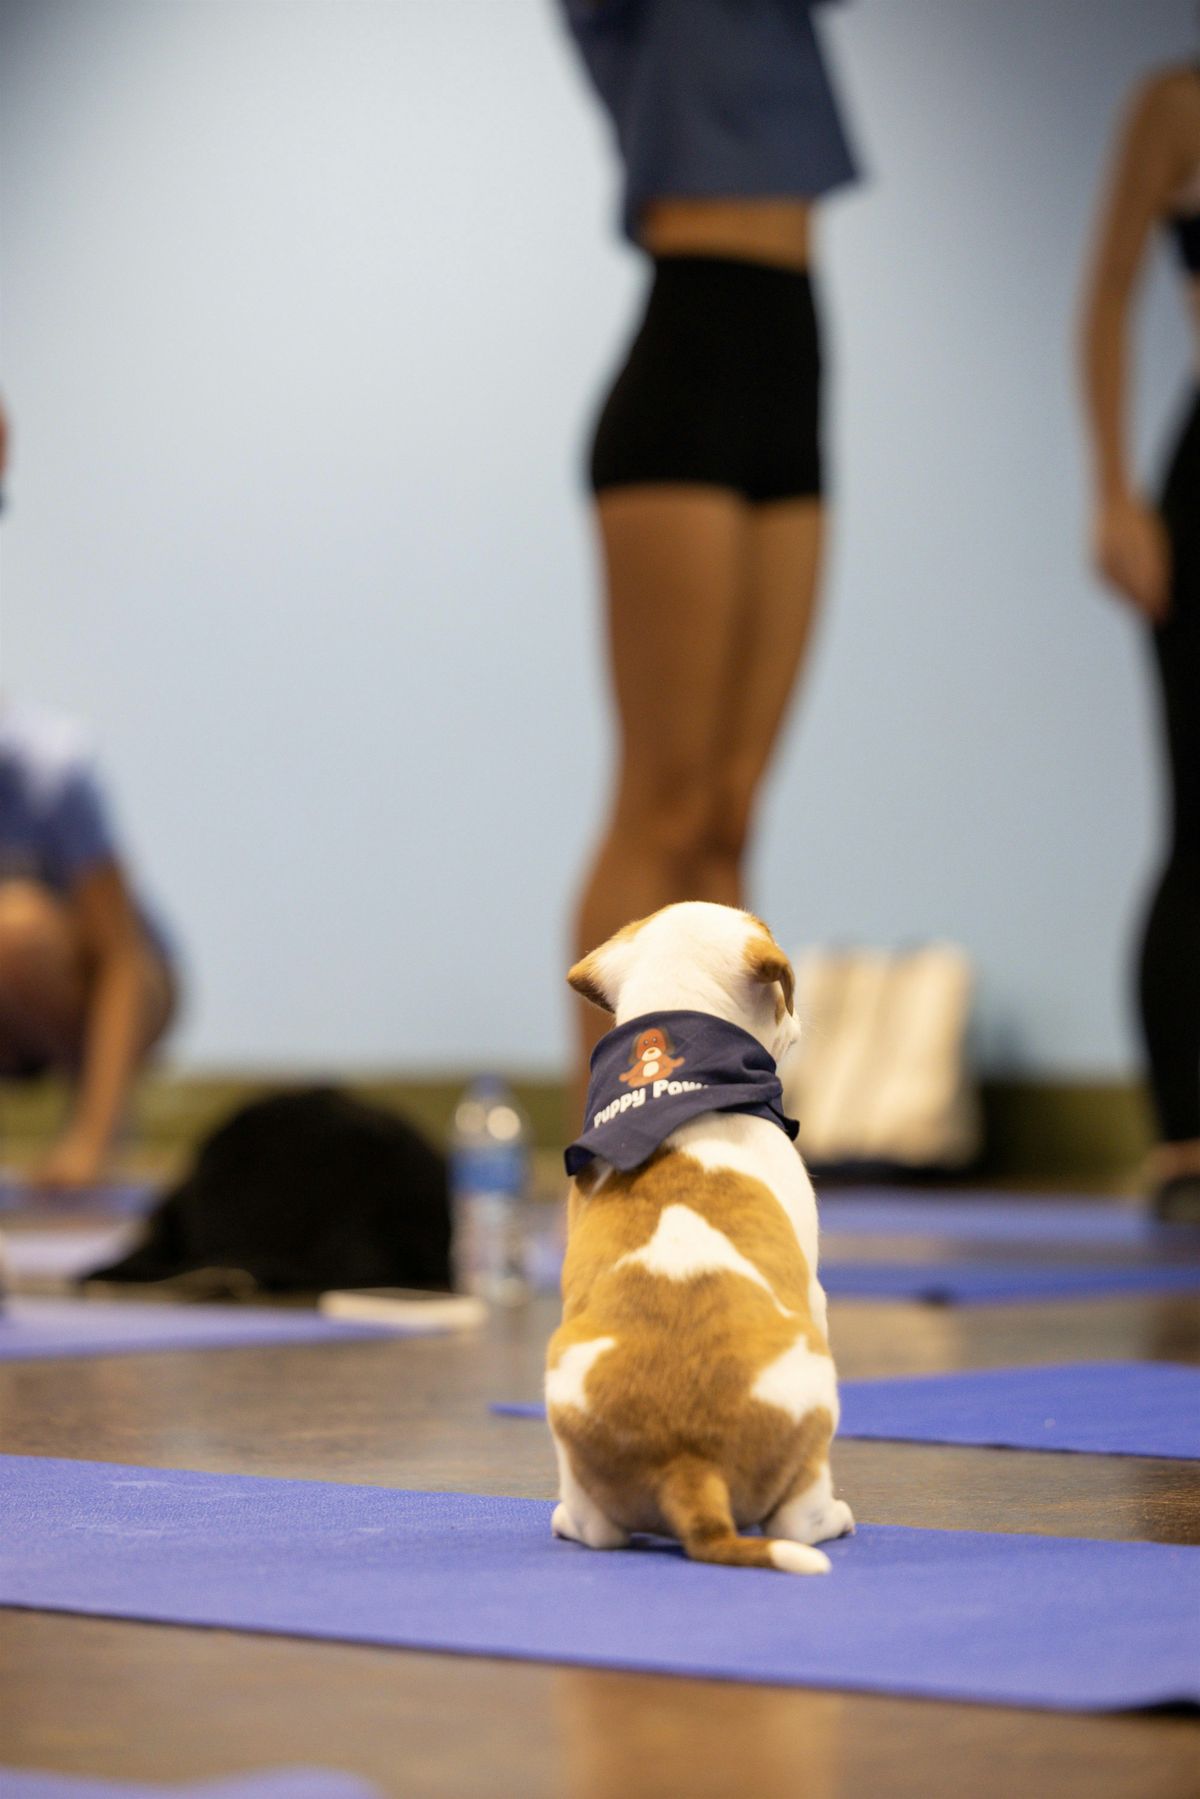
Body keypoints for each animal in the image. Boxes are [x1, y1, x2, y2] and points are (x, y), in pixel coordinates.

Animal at [550, 906, 849, 1568]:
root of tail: (687, 1463)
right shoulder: (813, 1292)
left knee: (597, 1529)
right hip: (815, 1401)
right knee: (798, 1521)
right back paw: (834, 1520)